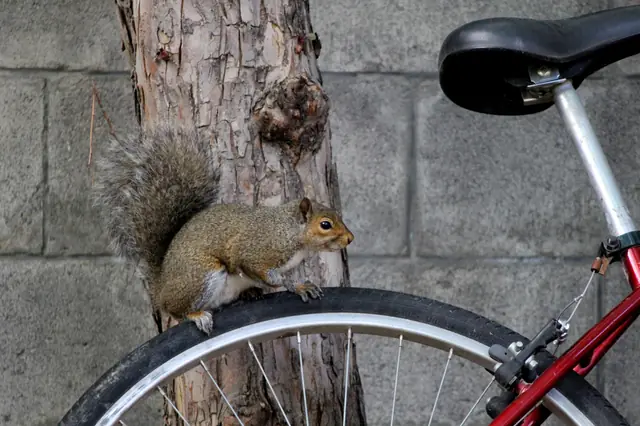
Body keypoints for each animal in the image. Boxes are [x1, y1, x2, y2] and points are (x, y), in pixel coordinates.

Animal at [93, 127, 354, 335]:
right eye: (325, 224)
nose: (350, 239)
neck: (289, 230)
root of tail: (161, 288)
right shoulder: (256, 252)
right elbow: (272, 277)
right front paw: (298, 286)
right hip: (202, 275)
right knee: (178, 311)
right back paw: (196, 315)